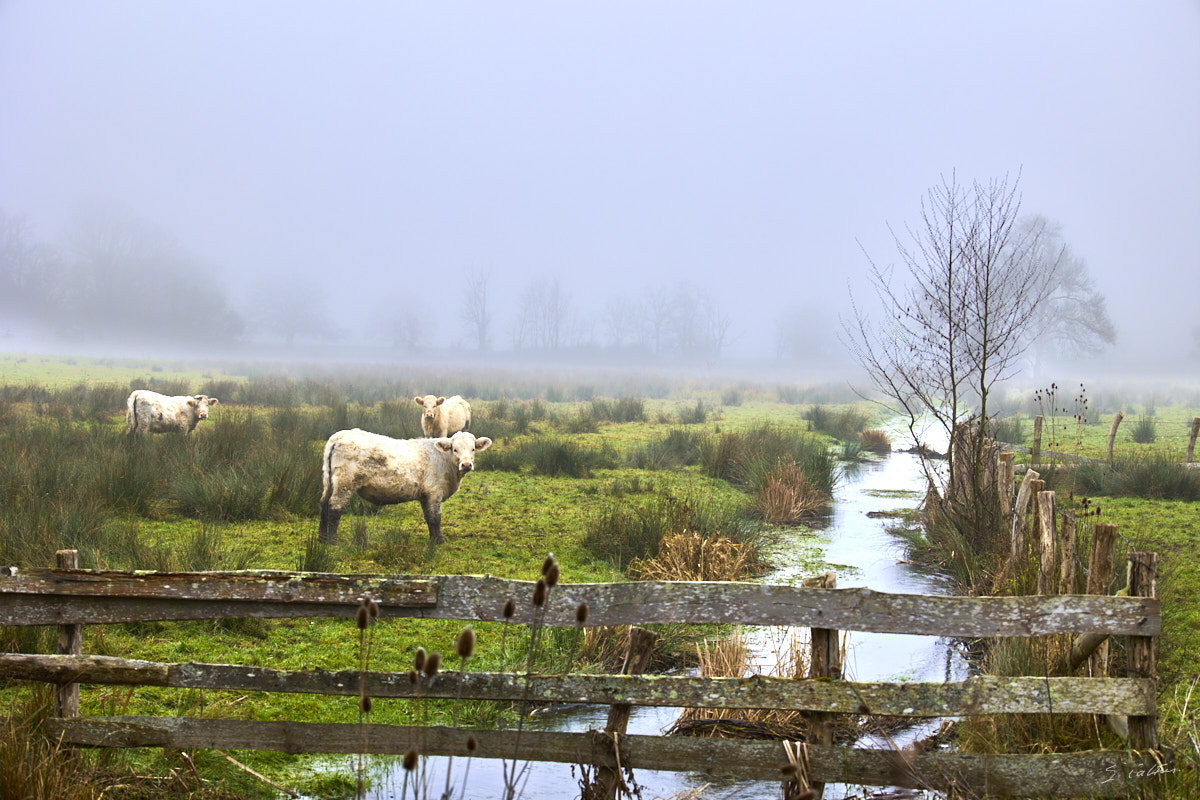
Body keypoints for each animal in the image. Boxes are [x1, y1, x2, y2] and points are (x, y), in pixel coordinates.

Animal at [319, 429, 492, 546]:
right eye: (455, 449)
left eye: (473, 449)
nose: (466, 464)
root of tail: (340, 435)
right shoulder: (434, 492)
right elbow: (436, 518)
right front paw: (440, 541)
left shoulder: (425, 496)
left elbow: (429, 518)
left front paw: (433, 540)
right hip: (345, 483)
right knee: (334, 507)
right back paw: (332, 541)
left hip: (329, 482)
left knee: (323, 505)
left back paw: (322, 538)